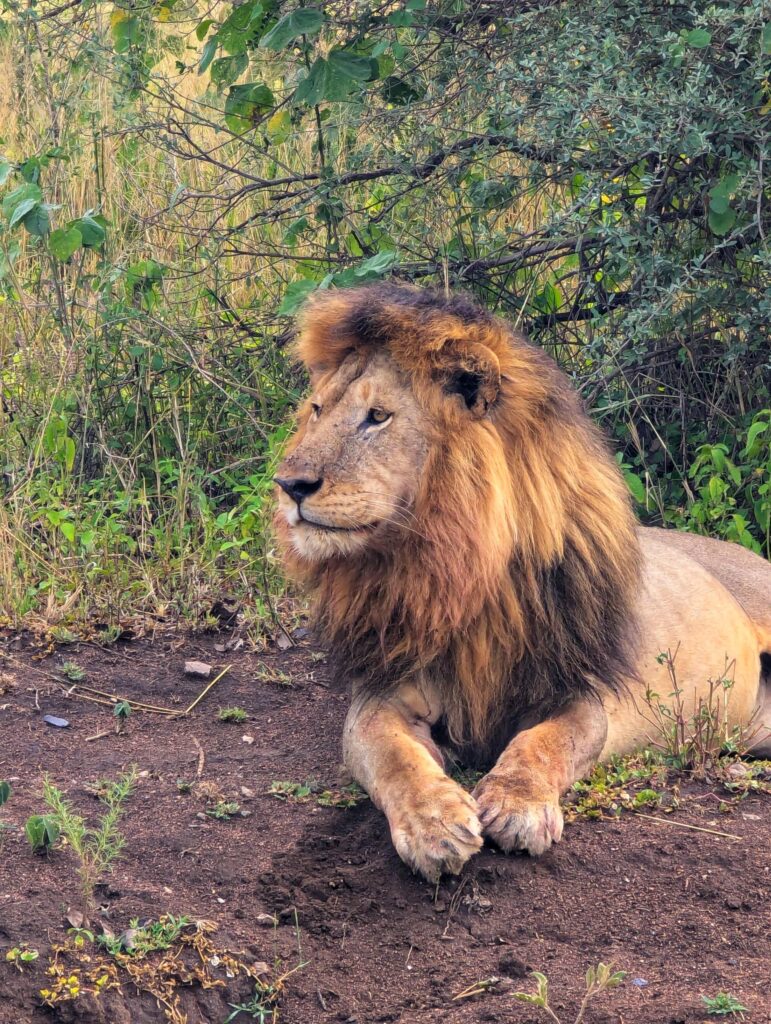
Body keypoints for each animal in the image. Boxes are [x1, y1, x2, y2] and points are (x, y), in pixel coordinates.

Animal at [274, 283, 771, 881]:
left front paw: (517, 805)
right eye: (317, 410)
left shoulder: (581, 691)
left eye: (378, 417)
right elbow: (392, 756)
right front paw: (435, 824)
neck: (452, 568)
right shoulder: (383, 691)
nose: (288, 484)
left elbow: (545, 742)